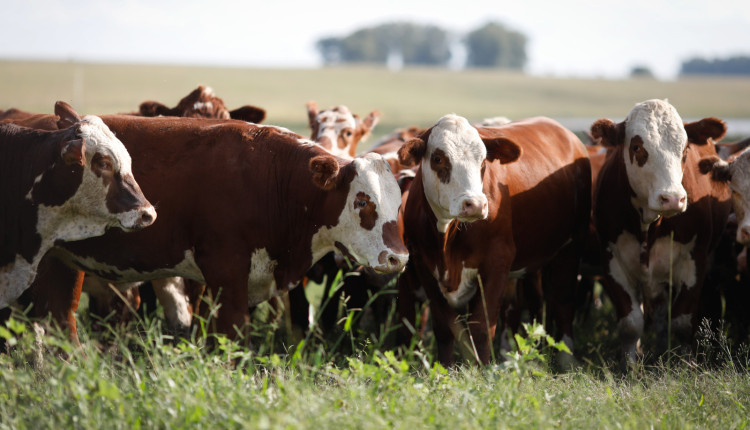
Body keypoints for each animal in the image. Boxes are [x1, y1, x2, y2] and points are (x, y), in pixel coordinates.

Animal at [14, 114, 408, 342]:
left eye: (399, 204)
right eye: (362, 201)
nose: (398, 258)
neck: (271, 176)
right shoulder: (226, 273)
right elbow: (230, 336)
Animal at [400, 112, 592, 364]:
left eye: (483, 162)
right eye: (438, 158)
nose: (475, 204)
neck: (446, 241)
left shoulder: (497, 262)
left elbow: (481, 329)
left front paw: (481, 369)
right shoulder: (424, 266)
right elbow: (445, 328)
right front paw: (446, 368)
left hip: (572, 245)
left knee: (563, 301)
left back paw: (565, 358)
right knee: (529, 303)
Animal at [592, 98, 732, 366]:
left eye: (685, 149)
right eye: (637, 146)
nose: (673, 199)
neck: (649, 225)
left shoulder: (695, 260)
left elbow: (682, 322)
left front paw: (686, 364)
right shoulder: (611, 261)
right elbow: (630, 323)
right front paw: (630, 366)